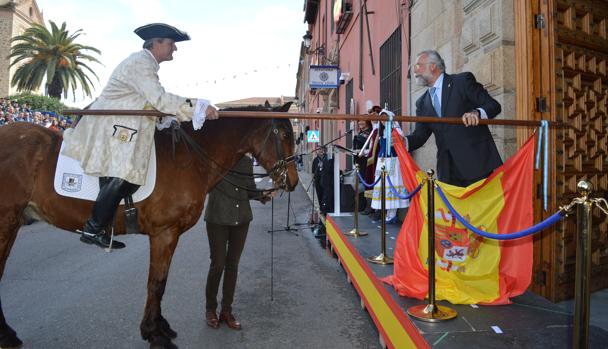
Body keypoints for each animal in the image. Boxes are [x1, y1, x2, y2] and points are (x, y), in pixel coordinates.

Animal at [0, 102, 296, 346]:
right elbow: (156, 283)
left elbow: (161, 281)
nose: (291, 181)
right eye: (283, 135)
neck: (187, 158)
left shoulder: (169, 235)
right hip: (7, 221)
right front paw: (154, 334)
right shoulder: (164, 233)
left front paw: (160, 327)